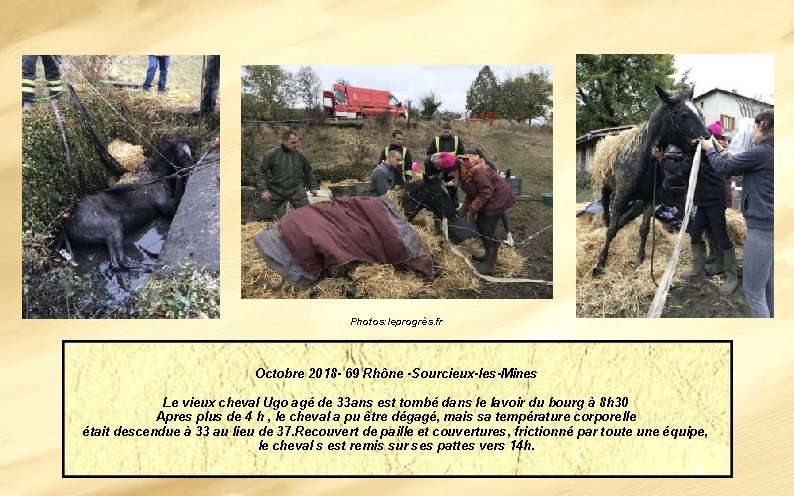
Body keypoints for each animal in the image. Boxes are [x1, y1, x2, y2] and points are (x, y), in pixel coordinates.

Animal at [63, 136, 193, 272]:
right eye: (180, 152)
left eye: (190, 150)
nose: (190, 168)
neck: (155, 175)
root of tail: (67, 230)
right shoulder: (167, 207)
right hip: (114, 230)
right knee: (118, 262)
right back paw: (148, 267)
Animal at [592, 86, 708, 278]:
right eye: (683, 114)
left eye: (700, 113)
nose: (707, 141)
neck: (644, 160)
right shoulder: (622, 197)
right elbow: (611, 231)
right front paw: (600, 264)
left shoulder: (648, 199)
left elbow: (644, 230)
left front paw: (639, 259)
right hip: (606, 186)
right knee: (606, 204)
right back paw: (606, 221)